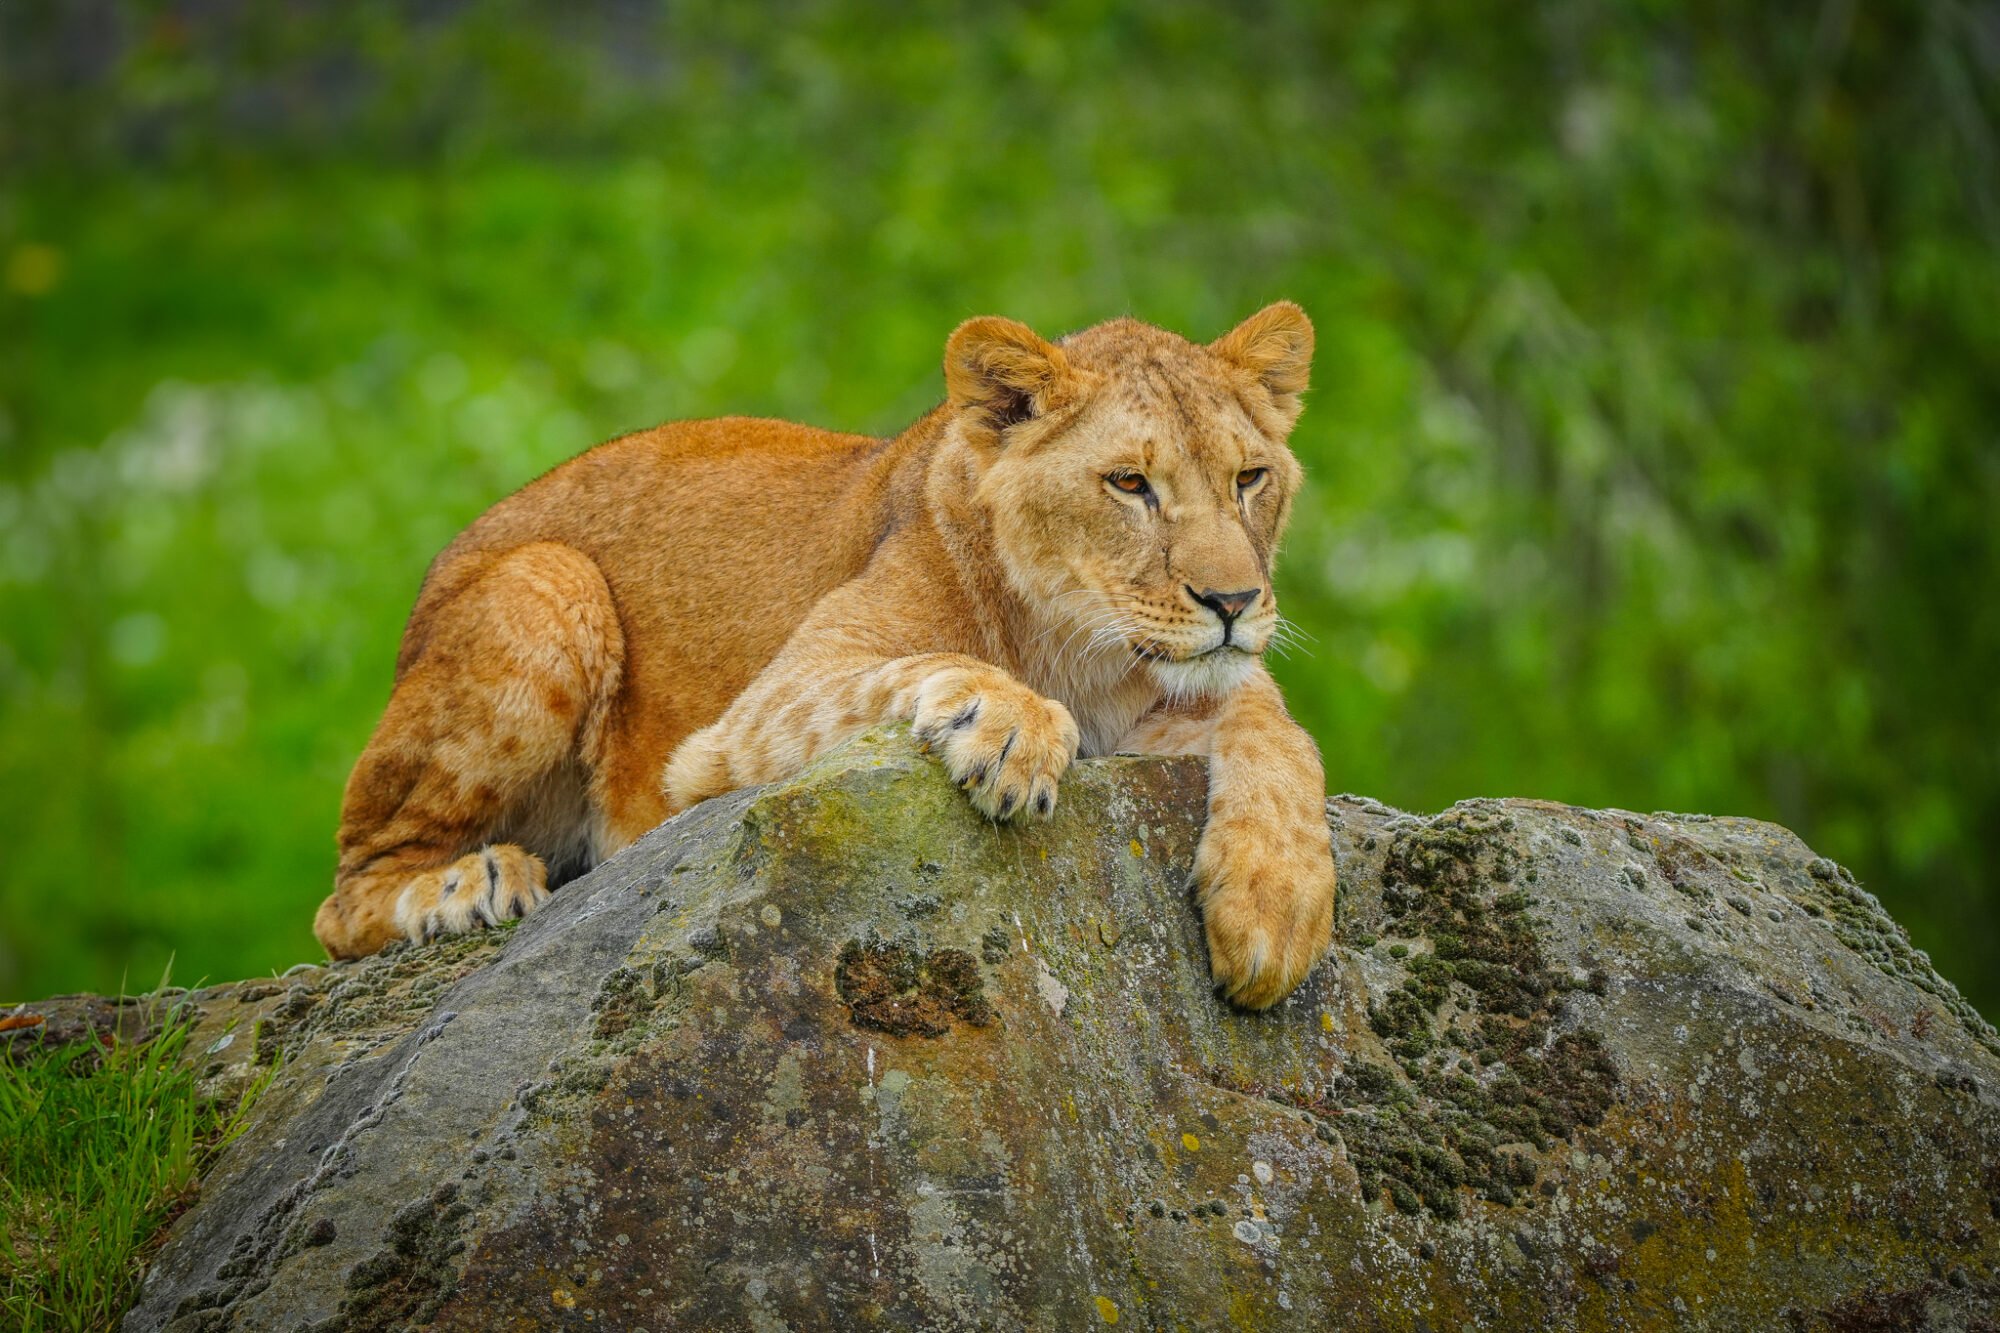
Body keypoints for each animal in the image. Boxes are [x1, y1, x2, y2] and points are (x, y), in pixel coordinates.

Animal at [312, 304, 1336, 1008]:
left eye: (1250, 478)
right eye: (1129, 484)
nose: (1234, 603)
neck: (1088, 652)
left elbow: (1280, 727)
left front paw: (1276, 905)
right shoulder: (735, 733)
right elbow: (921, 665)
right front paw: (1012, 728)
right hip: (548, 580)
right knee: (344, 894)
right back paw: (469, 884)